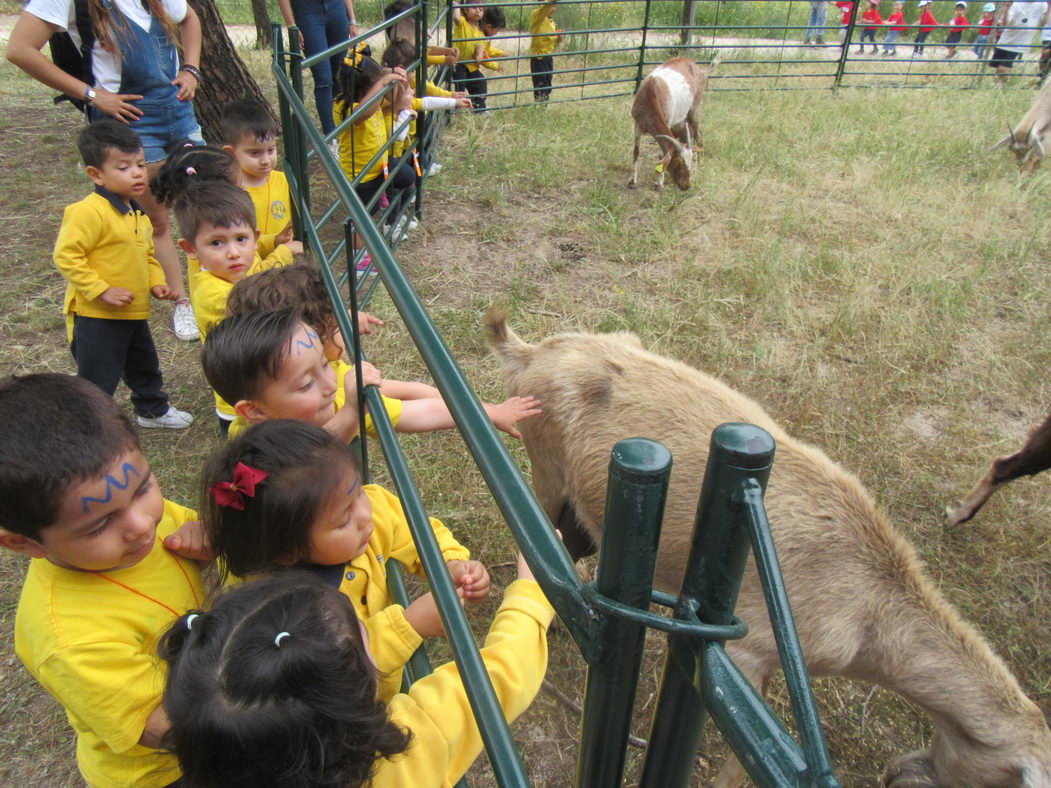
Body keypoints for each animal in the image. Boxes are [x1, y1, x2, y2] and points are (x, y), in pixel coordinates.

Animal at [626, 55, 718, 191]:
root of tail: (701, 71)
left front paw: (659, 183)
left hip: (695, 110)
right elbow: (636, 152)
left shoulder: (667, 122)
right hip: (680, 121)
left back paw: (701, 161)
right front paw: (632, 181)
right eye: (678, 163)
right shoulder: (637, 124)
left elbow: (661, 153)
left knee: (699, 135)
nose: (686, 186)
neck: (651, 92)